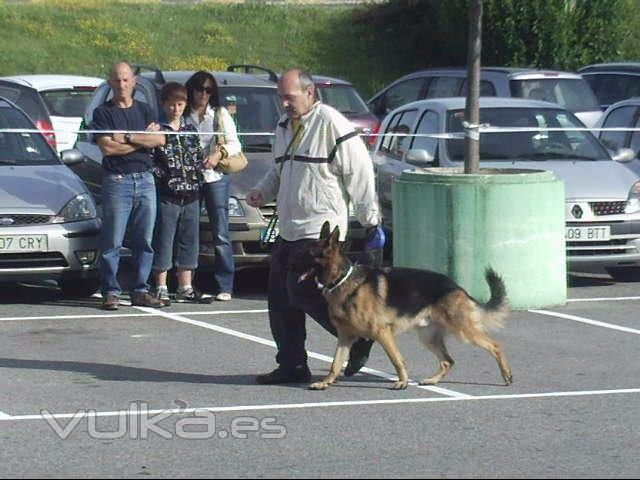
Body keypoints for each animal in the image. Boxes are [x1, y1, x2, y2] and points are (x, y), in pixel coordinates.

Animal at [298, 221, 512, 390]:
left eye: (308, 254)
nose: (288, 266)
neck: (341, 279)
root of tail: (457, 287)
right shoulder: (345, 337)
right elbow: (335, 363)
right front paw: (326, 382)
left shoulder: (382, 333)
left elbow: (397, 359)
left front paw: (403, 382)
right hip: (428, 337)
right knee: (447, 361)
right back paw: (432, 380)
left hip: (463, 331)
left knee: (495, 346)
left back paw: (507, 375)